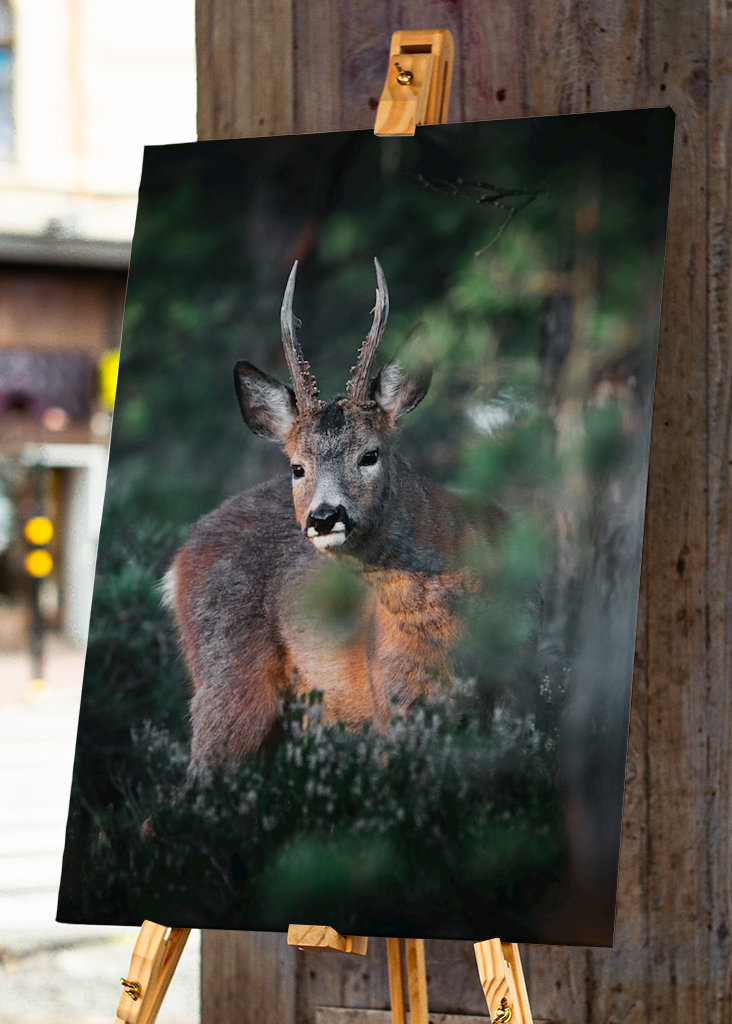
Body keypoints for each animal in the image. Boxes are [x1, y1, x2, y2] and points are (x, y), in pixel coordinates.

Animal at [165, 258, 479, 775]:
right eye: (297, 467)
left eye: (370, 454)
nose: (325, 516)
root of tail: (179, 559)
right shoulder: (390, 703)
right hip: (229, 680)